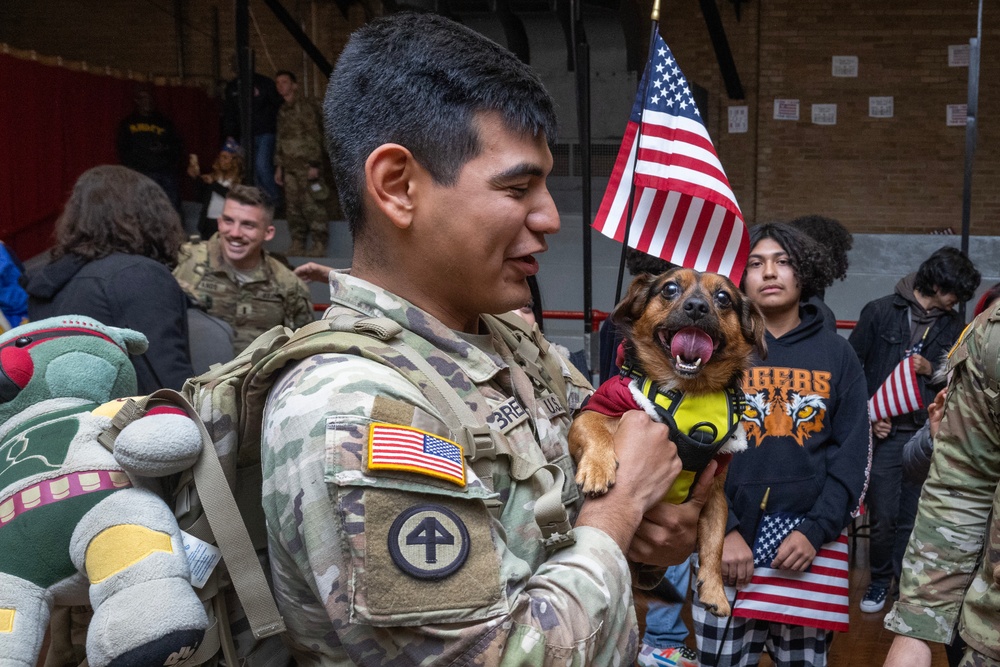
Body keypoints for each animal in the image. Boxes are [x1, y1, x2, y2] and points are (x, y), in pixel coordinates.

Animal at [572, 266, 764, 616]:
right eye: (670, 289)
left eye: (723, 297)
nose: (697, 307)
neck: (689, 390)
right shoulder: (594, 409)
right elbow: (595, 429)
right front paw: (598, 469)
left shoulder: (715, 494)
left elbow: (714, 543)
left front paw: (714, 591)